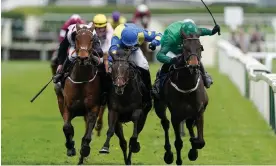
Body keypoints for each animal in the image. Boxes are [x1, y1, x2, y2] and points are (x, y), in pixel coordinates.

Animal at [55, 23, 103, 165]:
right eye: (76, 38)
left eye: (92, 39)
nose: (82, 58)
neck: (82, 79)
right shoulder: (67, 107)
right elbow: (67, 127)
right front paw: (70, 147)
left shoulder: (93, 109)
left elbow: (87, 136)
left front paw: (84, 150)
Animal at [153, 31, 209, 165]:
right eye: (185, 48)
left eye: (200, 47)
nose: (193, 65)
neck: (187, 86)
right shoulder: (176, 116)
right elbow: (178, 142)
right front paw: (177, 159)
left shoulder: (199, 112)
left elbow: (200, 141)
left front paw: (193, 149)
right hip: (159, 107)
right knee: (165, 123)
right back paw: (168, 153)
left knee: (188, 124)